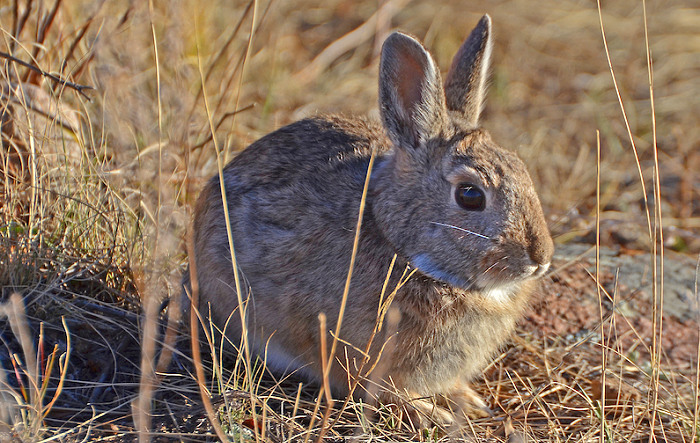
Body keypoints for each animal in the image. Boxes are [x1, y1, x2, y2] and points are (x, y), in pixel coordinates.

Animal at [185, 14, 552, 426]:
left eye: (522, 169)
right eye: (470, 195)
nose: (539, 259)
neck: (402, 248)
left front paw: (468, 400)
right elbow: (381, 393)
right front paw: (430, 414)